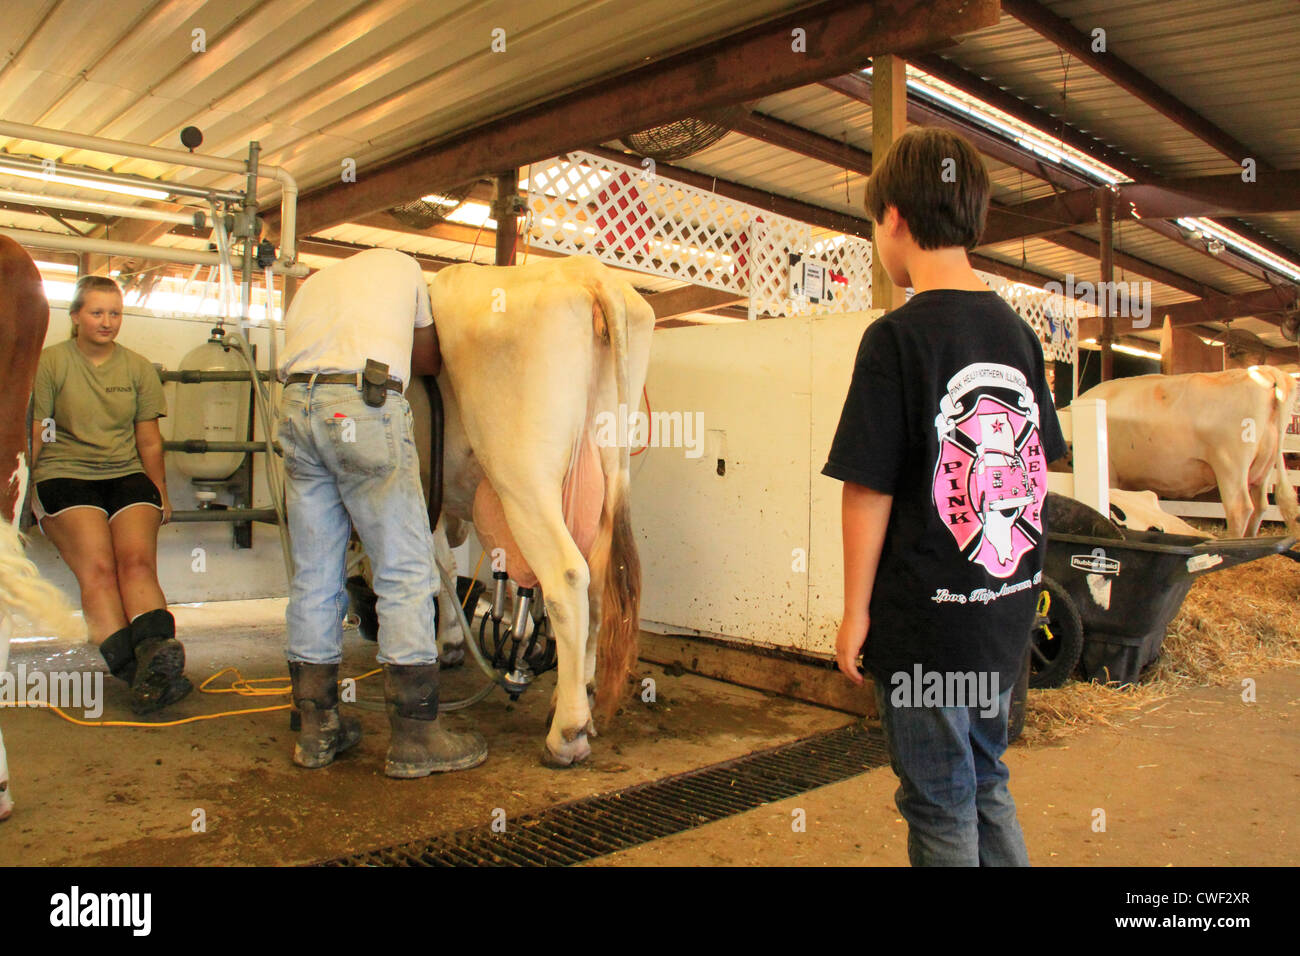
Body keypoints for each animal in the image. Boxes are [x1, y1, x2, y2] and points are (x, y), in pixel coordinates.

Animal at [1081, 366, 1300, 538]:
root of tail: (1265, 371)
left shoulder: (1111, 473)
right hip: (1263, 469)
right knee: (1261, 506)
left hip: (1231, 466)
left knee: (1239, 508)